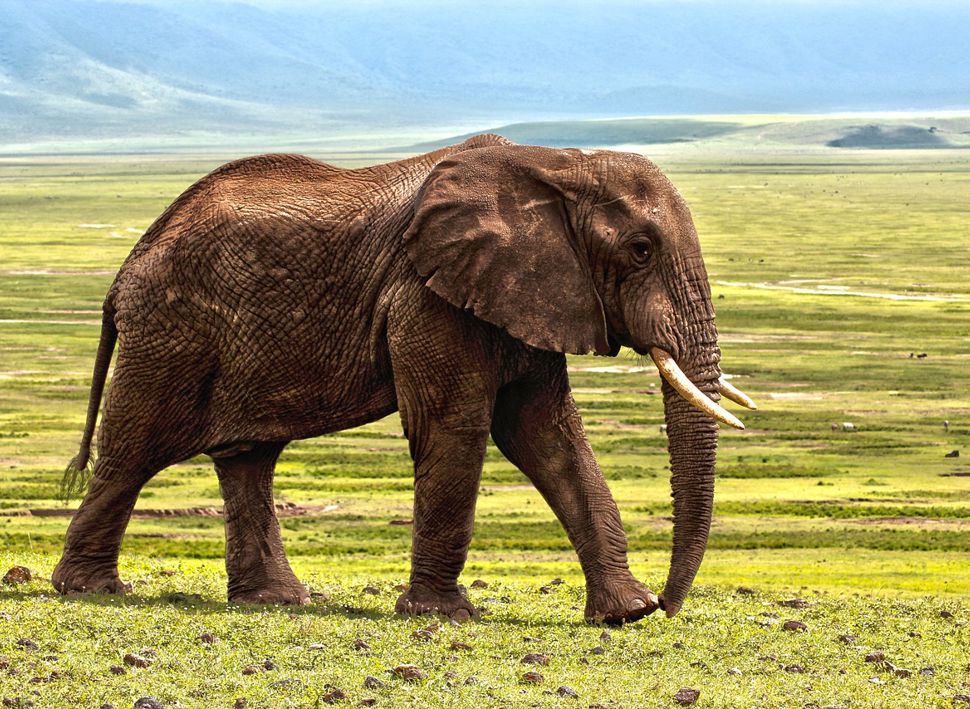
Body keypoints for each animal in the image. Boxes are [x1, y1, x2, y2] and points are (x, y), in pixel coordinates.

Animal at [51, 131, 756, 620]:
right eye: (640, 251)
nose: (668, 604)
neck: (557, 163)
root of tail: (127, 266)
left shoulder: (526, 294)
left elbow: (547, 436)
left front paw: (624, 615)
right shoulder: (426, 295)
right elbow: (456, 427)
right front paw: (444, 617)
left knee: (248, 457)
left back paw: (277, 602)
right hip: (170, 331)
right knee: (135, 449)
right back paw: (91, 591)